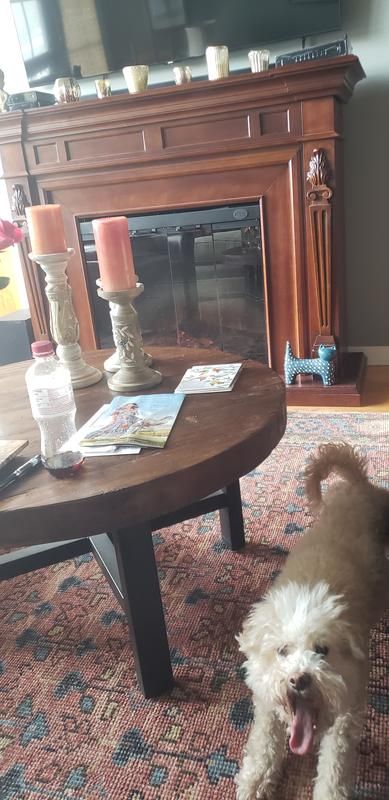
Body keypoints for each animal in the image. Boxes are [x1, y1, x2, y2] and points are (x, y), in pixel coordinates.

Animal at [235, 444, 386, 800]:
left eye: (323, 649)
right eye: (282, 650)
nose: (298, 679)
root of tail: (359, 485)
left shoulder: (347, 712)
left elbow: (335, 766)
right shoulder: (266, 697)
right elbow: (263, 742)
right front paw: (255, 779)